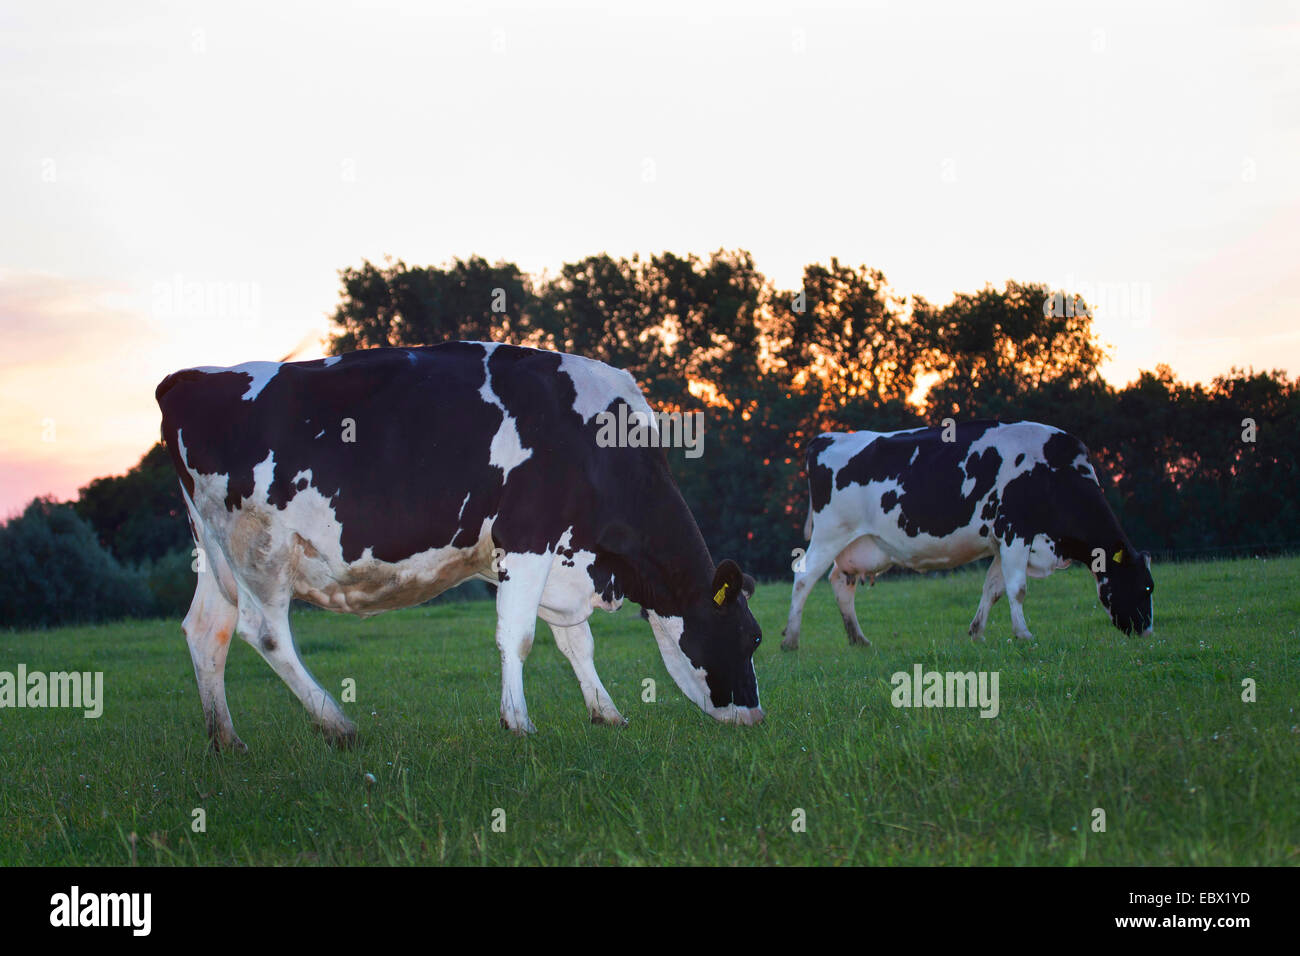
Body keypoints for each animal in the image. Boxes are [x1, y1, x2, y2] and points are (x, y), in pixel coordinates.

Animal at [154, 340, 759, 749]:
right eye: (749, 637)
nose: (755, 716)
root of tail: (187, 379)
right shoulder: (528, 538)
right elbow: (518, 637)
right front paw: (518, 723)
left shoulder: (564, 556)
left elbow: (576, 644)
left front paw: (605, 713)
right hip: (259, 545)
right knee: (265, 632)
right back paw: (338, 723)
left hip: (215, 553)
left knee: (207, 630)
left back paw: (226, 739)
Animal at [780, 421, 1159, 650]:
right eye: (1145, 587)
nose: (1147, 631)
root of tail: (828, 437)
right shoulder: (1015, 531)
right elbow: (1018, 589)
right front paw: (1023, 634)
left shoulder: (1003, 541)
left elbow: (993, 588)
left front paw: (977, 632)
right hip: (831, 532)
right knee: (804, 578)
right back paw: (790, 640)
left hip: (857, 543)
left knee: (841, 583)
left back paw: (858, 639)